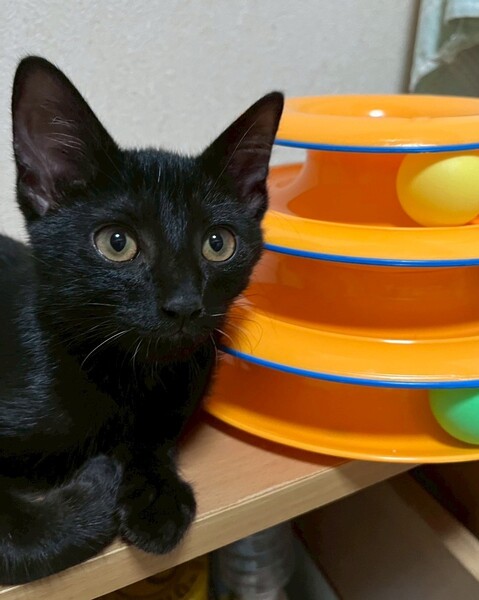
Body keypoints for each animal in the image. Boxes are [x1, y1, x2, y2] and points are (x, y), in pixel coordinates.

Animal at [0, 56, 283, 584]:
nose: (184, 303)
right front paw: (100, 483)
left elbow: (156, 434)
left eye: (218, 243)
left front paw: (156, 494)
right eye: (117, 242)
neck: (132, 376)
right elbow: (18, 538)